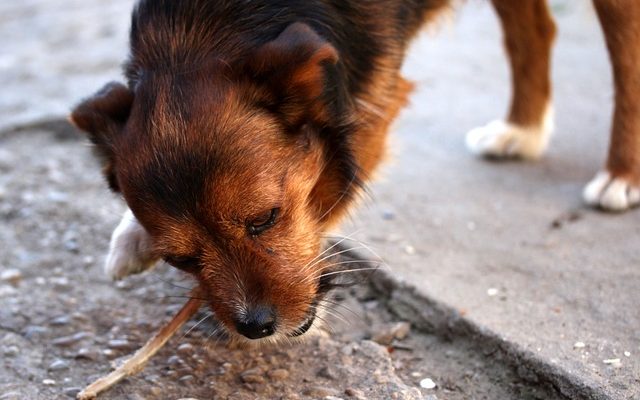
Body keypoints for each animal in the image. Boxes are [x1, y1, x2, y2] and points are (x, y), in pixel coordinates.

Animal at [70, 0, 640, 344]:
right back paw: (522, 129)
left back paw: (621, 175)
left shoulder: (371, 98)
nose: (256, 327)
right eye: (181, 259)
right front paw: (131, 238)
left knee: (625, 50)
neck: (207, 29)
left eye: (265, 218)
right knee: (535, 27)